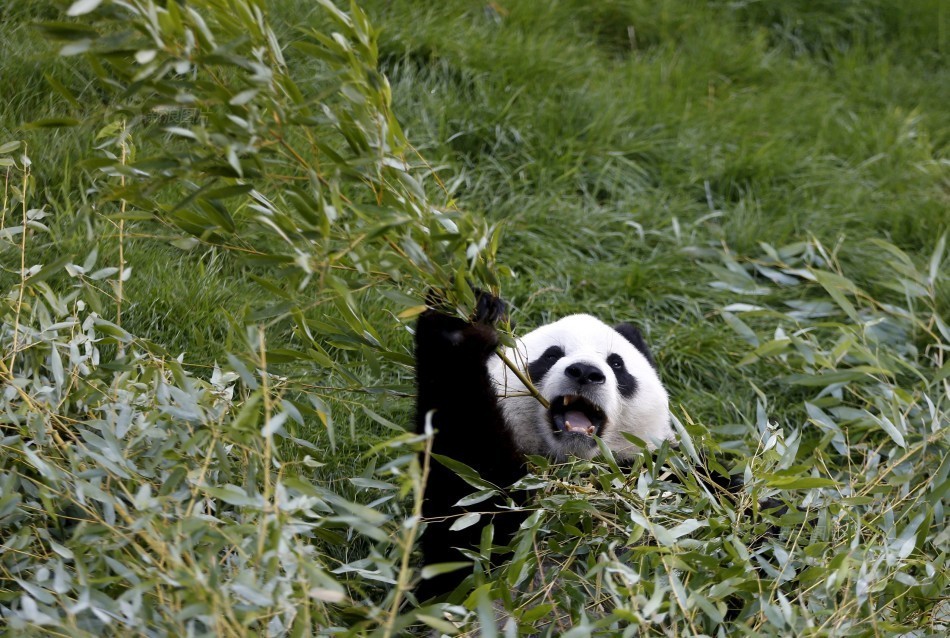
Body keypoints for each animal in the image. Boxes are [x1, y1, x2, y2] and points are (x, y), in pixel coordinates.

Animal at [416, 292, 676, 604]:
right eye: (551, 355)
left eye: (617, 364)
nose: (585, 372)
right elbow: (468, 520)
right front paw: (460, 320)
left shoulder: (657, 473)